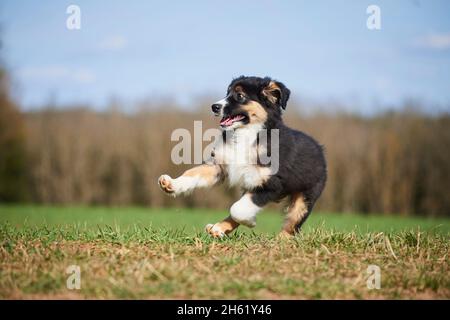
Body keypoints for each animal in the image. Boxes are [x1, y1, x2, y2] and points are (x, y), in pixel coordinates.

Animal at [159, 75, 326, 238]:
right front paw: (172, 184)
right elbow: (194, 173)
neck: (246, 133)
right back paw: (217, 228)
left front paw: (251, 222)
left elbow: (237, 208)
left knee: (291, 226)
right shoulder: (219, 165)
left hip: (305, 199)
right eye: (227, 93)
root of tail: (320, 148)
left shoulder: (271, 184)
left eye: (240, 96)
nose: (214, 106)